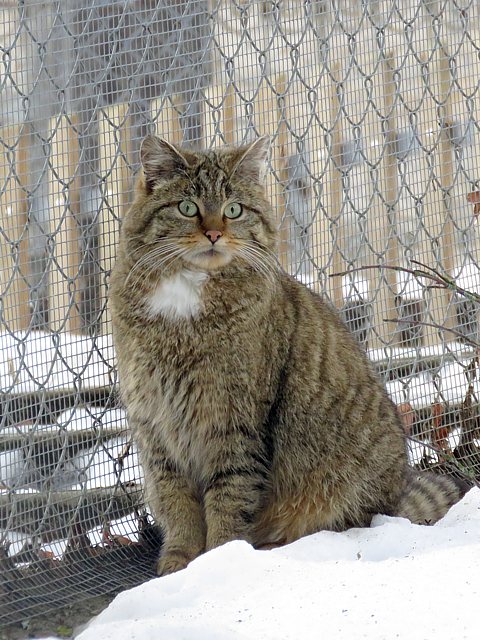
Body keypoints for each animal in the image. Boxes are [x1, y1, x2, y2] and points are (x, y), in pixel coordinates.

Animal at [109, 135, 468, 576]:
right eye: (187, 207)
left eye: (233, 209)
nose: (213, 233)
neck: (185, 299)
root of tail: (397, 494)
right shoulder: (155, 426)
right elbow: (176, 503)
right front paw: (179, 561)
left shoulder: (235, 423)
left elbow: (229, 502)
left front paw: (217, 561)